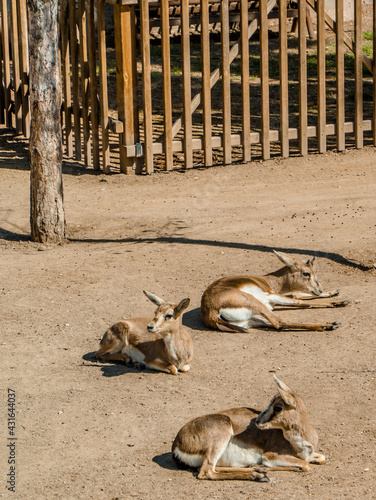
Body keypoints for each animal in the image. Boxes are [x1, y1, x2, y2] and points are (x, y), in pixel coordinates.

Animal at [172, 376, 324, 480]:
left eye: (278, 407)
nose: (257, 421)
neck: (301, 442)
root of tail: (176, 444)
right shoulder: (270, 455)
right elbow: (305, 465)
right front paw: (262, 466)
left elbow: (320, 458)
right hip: (220, 439)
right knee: (206, 472)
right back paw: (258, 475)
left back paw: (256, 471)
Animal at [201, 250, 352, 332]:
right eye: (306, 273)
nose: (319, 290)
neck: (267, 280)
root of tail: (211, 312)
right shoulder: (271, 295)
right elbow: (299, 301)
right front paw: (340, 301)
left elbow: (297, 295)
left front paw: (335, 293)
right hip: (257, 305)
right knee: (279, 322)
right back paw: (329, 324)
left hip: (252, 319)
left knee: (276, 324)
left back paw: (327, 326)